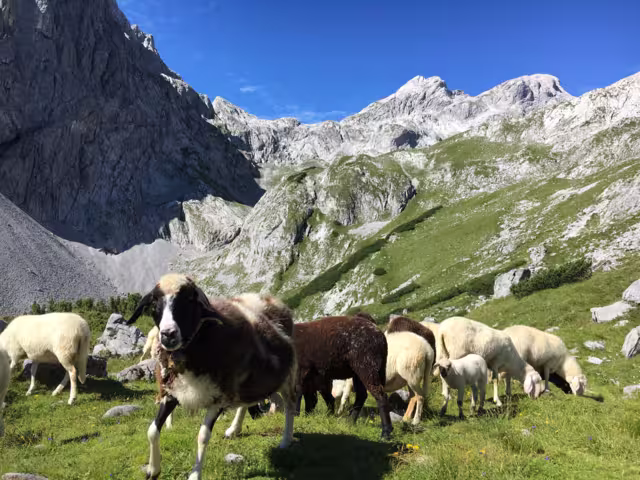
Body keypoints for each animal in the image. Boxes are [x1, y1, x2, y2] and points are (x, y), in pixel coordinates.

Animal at [126, 274, 297, 480]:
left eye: (189, 299)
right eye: (154, 303)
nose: (168, 334)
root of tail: (271, 299)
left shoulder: (218, 398)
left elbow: (202, 437)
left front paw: (194, 475)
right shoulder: (172, 392)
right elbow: (152, 430)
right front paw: (153, 469)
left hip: (286, 376)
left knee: (290, 406)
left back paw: (286, 440)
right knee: (245, 403)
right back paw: (234, 429)